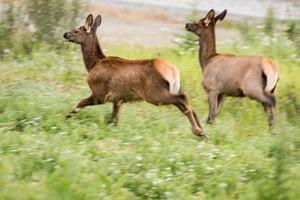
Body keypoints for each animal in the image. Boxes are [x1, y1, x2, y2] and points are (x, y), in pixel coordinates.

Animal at [62, 13, 205, 136]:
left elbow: (81, 103)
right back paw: (203, 132)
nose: (65, 34)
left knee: (182, 99)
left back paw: (198, 130)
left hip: (154, 93)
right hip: (171, 89)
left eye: (77, 30)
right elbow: (114, 120)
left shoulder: (100, 94)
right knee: (188, 104)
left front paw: (66, 116)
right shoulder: (118, 99)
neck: (93, 64)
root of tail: (173, 71)